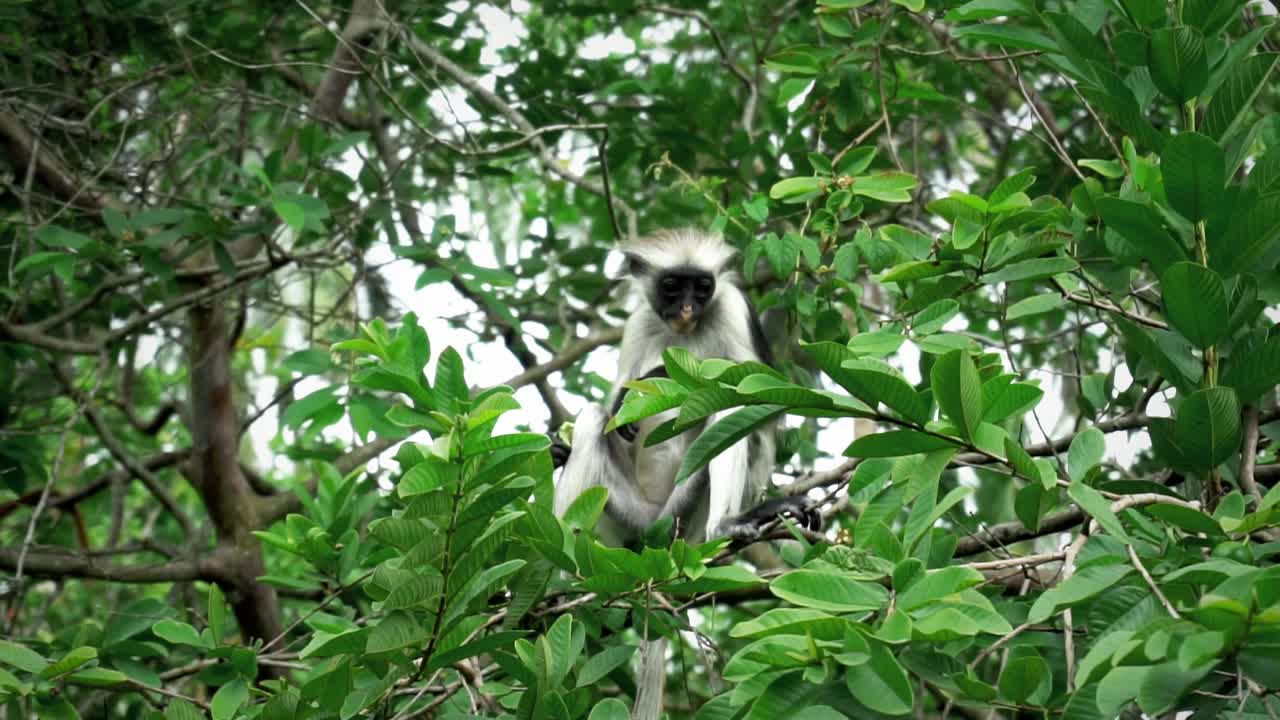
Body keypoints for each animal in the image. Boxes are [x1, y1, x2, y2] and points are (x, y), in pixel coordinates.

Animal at [552, 228, 817, 720]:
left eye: (703, 287)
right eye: (673, 286)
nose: (690, 308)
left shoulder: (732, 308)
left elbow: (761, 403)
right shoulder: (641, 322)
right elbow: (616, 406)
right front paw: (563, 442)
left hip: (685, 512)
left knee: (728, 411)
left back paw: (729, 523)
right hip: (627, 515)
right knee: (593, 417)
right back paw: (560, 582)